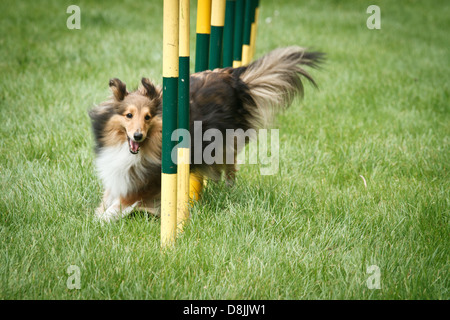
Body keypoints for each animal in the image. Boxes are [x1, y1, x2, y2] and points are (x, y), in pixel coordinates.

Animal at [89, 46, 322, 221]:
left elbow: (119, 205)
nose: (137, 136)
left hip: (224, 143)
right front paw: (98, 212)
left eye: (147, 117)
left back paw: (228, 189)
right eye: (129, 115)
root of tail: (234, 80)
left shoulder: (147, 184)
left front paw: (100, 220)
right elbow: (107, 198)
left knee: (230, 167)